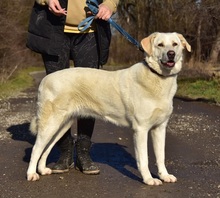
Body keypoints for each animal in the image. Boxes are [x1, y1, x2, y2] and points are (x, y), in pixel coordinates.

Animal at [26, 31, 191, 185]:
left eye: (175, 44)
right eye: (160, 45)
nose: (171, 54)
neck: (158, 77)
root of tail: (45, 79)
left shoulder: (160, 128)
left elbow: (161, 157)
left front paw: (164, 176)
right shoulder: (141, 129)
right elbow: (144, 159)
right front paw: (149, 179)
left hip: (62, 125)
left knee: (46, 148)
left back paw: (42, 169)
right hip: (51, 123)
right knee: (36, 148)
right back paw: (31, 174)